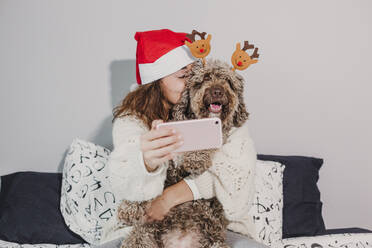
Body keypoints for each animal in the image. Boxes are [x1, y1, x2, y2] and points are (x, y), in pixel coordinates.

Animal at [117, 58, 250, 248]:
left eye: (228, 82)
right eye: (204, 79)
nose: (217, 91)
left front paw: (195, 159)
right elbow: (146, 178)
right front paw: (129, 207)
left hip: (215, 241)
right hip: (141, 236)